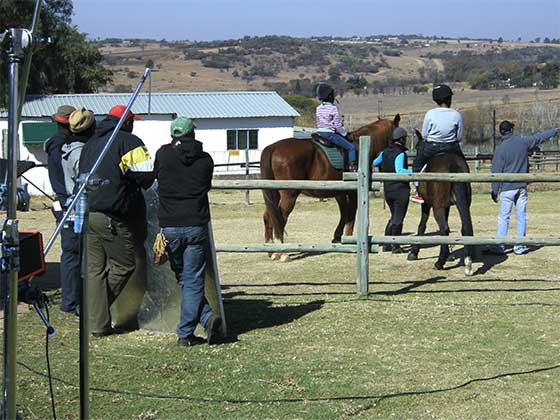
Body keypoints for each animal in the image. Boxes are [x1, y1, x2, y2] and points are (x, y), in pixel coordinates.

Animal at [260, 114, 400, 260]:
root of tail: (273, 147)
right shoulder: (353, 193)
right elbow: (351, 215)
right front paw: (349, 239)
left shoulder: (340, 193)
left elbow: (344, 214)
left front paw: (337, 237)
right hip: (289, 194)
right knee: (280, 218)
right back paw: (281, 252)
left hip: (274, 194)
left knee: (269, 216)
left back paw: (270, 249)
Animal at [404, 131, 474, 276]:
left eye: (418, 146)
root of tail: (453, 164)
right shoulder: (446, 206)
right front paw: (448, 255)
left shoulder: (426, 204)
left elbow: (422, 225)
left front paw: (413, 253)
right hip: (463, 204)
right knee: (465, 227)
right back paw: (468, 263)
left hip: (437, 207)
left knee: (444, 229)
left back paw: (439, 263)